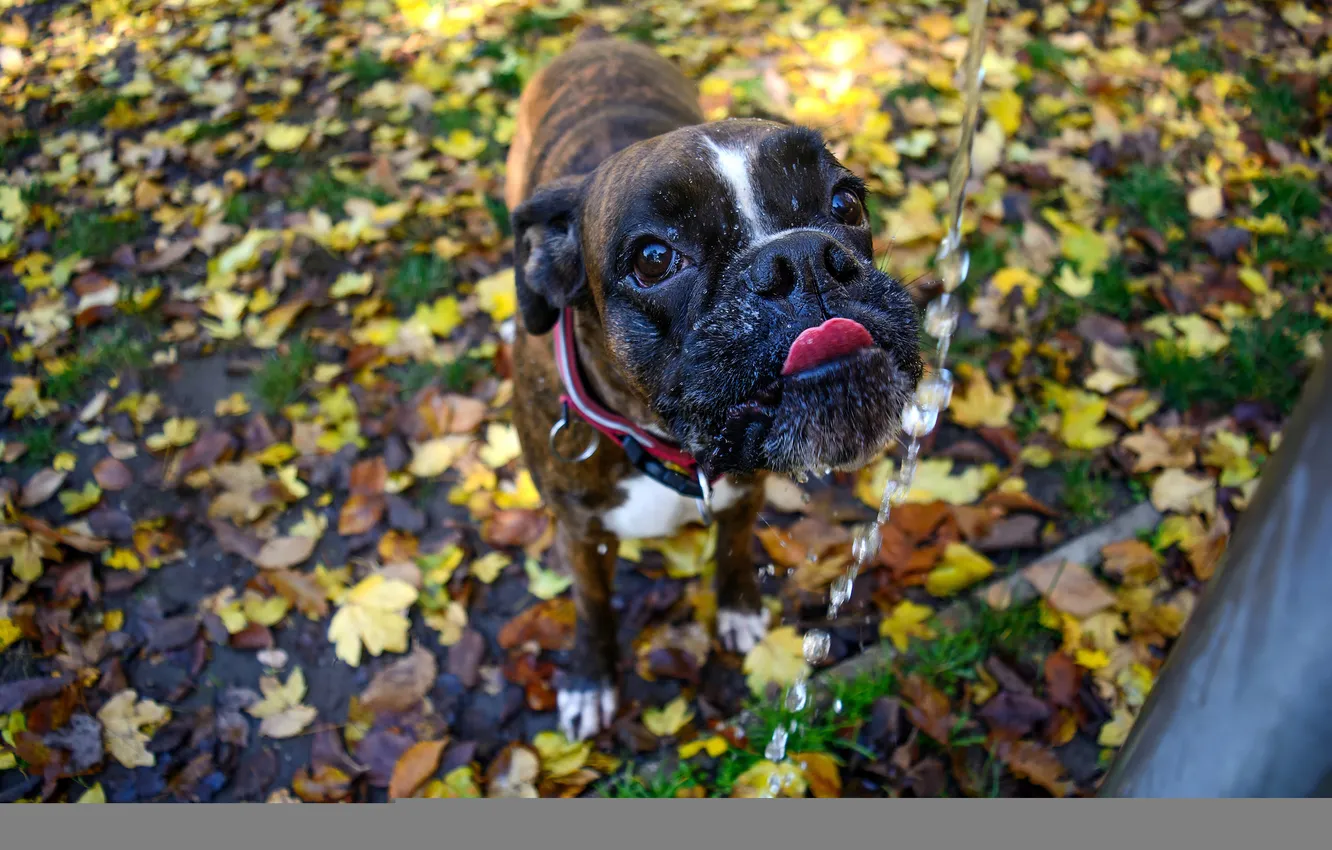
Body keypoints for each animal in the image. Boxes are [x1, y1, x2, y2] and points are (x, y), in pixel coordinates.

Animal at [503, 29, 921, 740]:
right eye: (652, 259)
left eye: (846, 202)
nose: (800, 258)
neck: (664, 443)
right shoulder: (579, 533)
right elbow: (592, 603)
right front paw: (591, 676)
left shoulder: (743, 493)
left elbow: (732, 548)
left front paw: (740, 608)